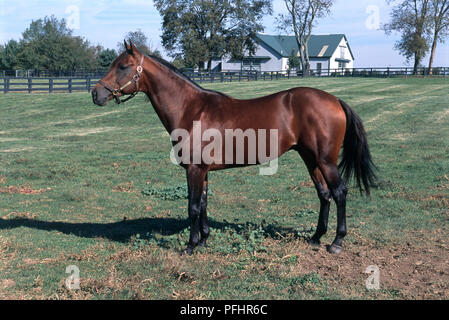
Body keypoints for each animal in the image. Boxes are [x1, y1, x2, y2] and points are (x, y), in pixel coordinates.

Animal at [93, 40, 376, 255]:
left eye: (123, 66)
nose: (96, 94)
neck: (191, 109)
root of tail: (335, 100)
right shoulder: (202, 171)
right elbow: (203, 203)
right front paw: (204, 240)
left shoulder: (194, 169)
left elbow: (192, 206)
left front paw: (190, 246)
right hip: (310, 158)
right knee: (324, 194)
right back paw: (316, 237)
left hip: (326, 161)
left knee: (339, 193)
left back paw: (336, 242)